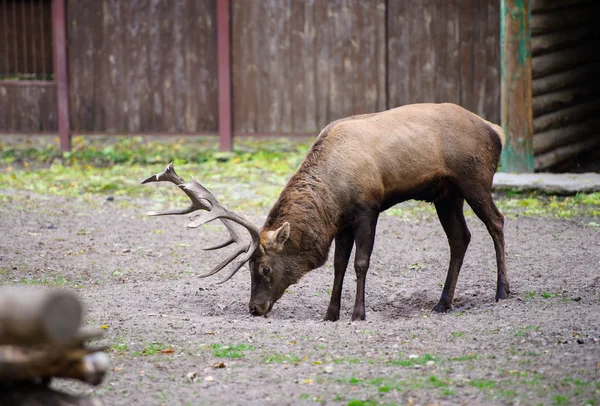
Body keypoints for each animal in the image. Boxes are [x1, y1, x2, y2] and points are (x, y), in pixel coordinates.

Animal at [143, 103, 508, 322]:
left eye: (263, 269)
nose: (254, 308)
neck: (334, 193)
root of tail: (496, 130)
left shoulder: (368, 207)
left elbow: (361, 262)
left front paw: (358, 314)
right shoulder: (342, 222)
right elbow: (338, 265)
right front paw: (330, 313)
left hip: (474, 179)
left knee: (497, 222)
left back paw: (502, 292)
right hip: (445, 194)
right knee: (460, 238)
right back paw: (442, 303)